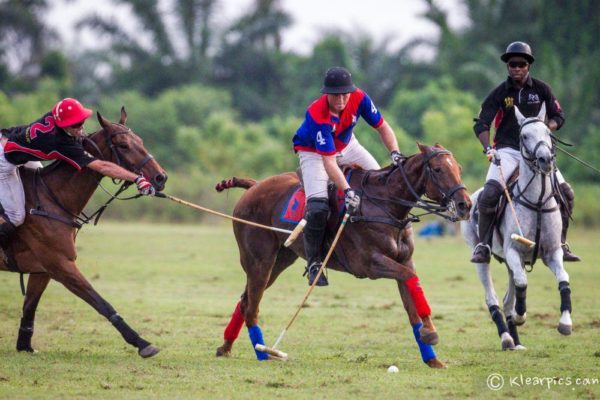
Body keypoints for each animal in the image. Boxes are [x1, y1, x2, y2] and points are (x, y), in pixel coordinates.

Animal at [2, 108, 168, 358]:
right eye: (123, 145)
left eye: (140, 141)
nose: (160, 177)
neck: (52, 199)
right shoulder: (61, 264)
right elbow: (101, 303)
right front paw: (142, 342)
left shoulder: (43, 269)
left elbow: (30, 305)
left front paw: (24, 346)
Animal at [213, 144, 472, 368]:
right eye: (438, 169)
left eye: (459, 168)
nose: (465, 205)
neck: (386, 206)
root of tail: (254, 185)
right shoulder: (370, 264)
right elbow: (409, 279)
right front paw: (431, 332)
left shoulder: (404, 261)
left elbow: (411, 301)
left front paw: (432, 355)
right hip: (259, 259)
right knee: (252, 306)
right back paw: (262, 352)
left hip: (280, 260)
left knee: (245, 299)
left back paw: (226, 347)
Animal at [464, 103, 572, 350]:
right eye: (524, 135)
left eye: (548, 133)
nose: (545, 160)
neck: (538, 201)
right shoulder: (514, 251)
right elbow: (523, 283)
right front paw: (521, 316)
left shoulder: (552, 252)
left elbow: (564, 279)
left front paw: (565, 323)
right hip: (483, 253)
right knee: (493, 297)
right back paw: (506, 337)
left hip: (511, 261)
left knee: (506, 299)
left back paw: (516, 340)